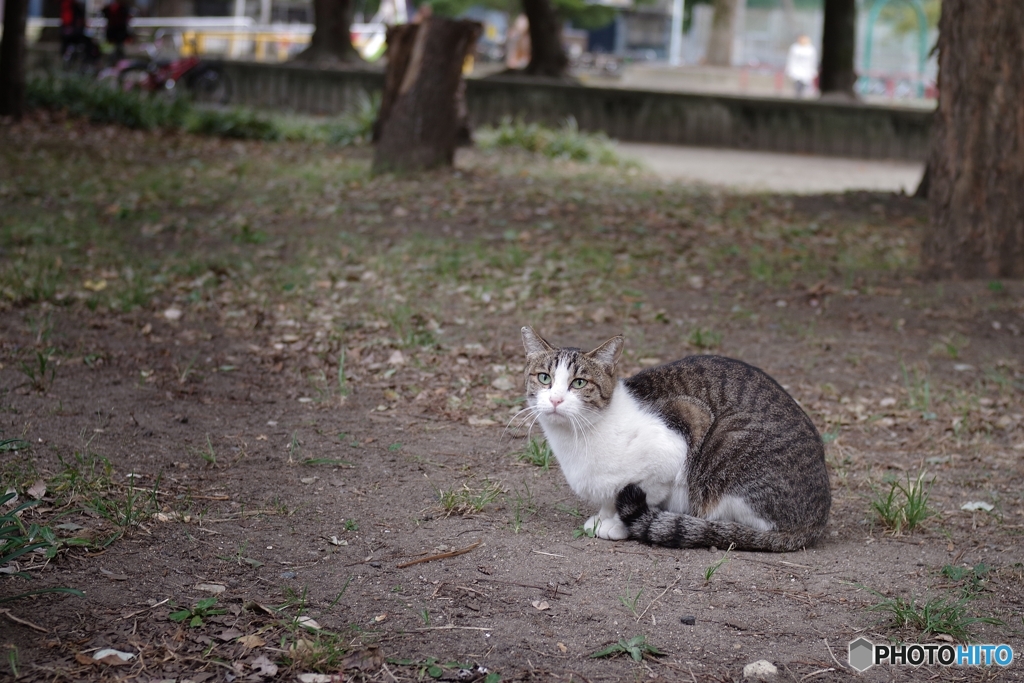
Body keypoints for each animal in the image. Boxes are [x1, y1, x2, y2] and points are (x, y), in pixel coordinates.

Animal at [520, 327, 831, 552]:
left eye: (579, 383)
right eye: (545, 378)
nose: (555, 400)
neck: (577, 438)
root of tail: (819, 516)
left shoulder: (685, 426)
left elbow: (644, 494)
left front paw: (617, 525)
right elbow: (609, 500)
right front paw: (602, 516)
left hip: (728, 448)